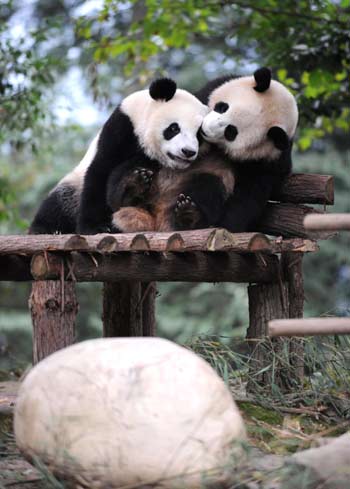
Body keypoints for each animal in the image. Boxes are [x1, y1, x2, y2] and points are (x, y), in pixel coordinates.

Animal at [29, 77, 208, 234]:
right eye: (174, 128)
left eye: (198, 135)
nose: (188, 151)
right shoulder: (122, 127)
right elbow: (101, 171)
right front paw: (95, 227)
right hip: (73, 186)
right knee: (58, 203)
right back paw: (46, 229)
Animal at [111, 66, 298, 233]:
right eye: (223, 107)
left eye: (231, 132)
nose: (204, 128)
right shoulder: (211, 88)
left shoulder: (268, 162)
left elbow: (248, 197)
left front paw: (222, 224)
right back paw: (132, 187)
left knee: (208, 184)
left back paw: (188, 216)